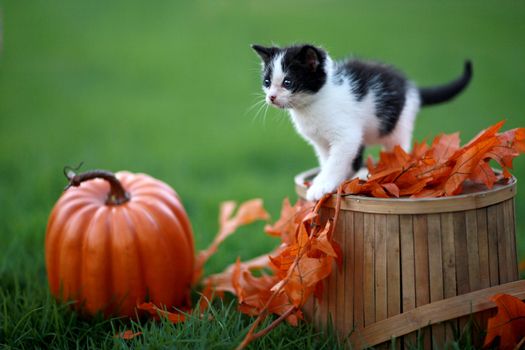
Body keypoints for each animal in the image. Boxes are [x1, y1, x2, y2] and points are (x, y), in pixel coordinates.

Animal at [251, 44, 470, 200]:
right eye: (267, 82)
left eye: (288, 82)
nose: (271, 97)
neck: (313, 103)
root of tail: (412, 88)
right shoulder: (320, 141)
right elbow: (327, 159)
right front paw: (331, 178)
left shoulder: (347, 135)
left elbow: (336, 160)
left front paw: (322, 186)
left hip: (397, 124)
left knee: (399, 148)